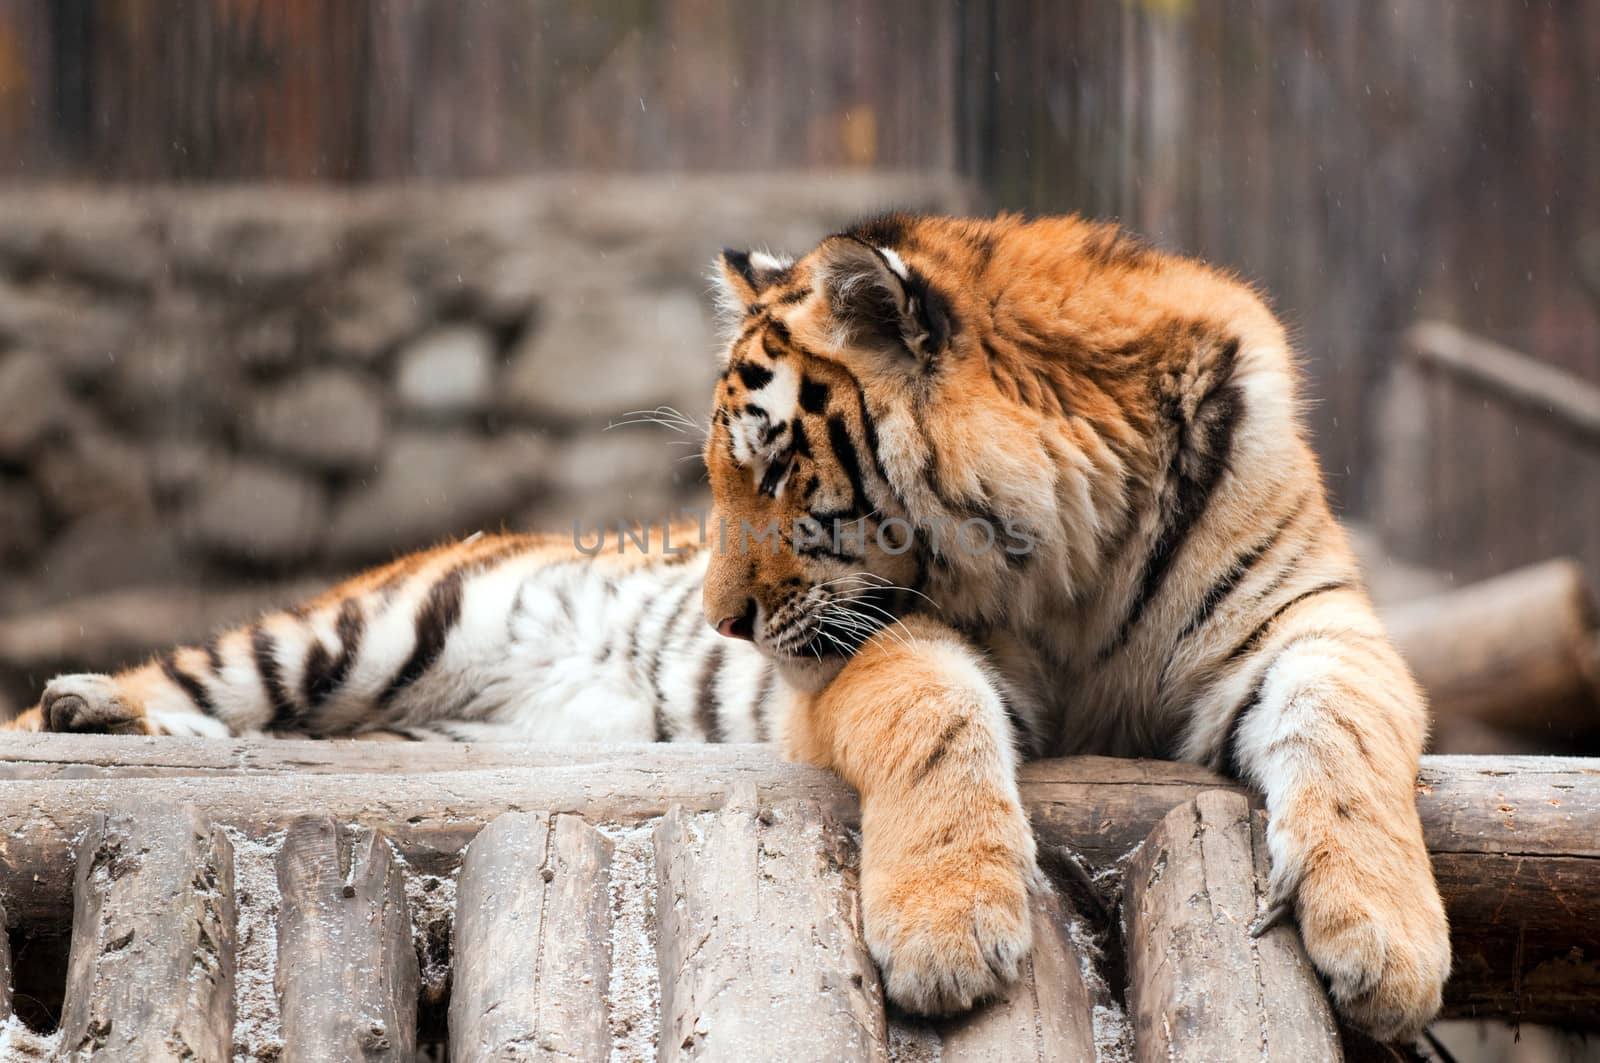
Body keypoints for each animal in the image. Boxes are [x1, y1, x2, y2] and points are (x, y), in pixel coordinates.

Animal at [3, 211, 1452, 1043]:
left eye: (770, 467)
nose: (724, 619)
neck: (1075, 553)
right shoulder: (858, 645)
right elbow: (934, 716)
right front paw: (951, 925)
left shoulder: (1309, 621)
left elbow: (1354, 737)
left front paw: (1387, 943)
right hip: (380, 621)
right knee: (193, 683)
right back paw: (87, 704)